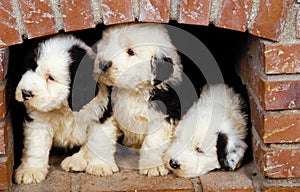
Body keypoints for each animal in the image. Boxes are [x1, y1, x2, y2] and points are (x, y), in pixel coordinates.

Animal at [14, 35, 117, 184]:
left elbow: (99, 140)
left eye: (51, 78)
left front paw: (100, 165)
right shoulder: (38, 121)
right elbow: (36, 146)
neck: (64, 108)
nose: (26, 93)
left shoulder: (100, 113)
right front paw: (31, 170)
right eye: (30, 68)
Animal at [94, 23, 183, 176]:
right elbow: (101, 136)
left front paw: (153, 167)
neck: (133, 91)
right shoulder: (107, 109)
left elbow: (153, 141)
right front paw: (100, 165)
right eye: (107, 42)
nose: (103, 64)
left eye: (131, 52)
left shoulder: (163, 115)